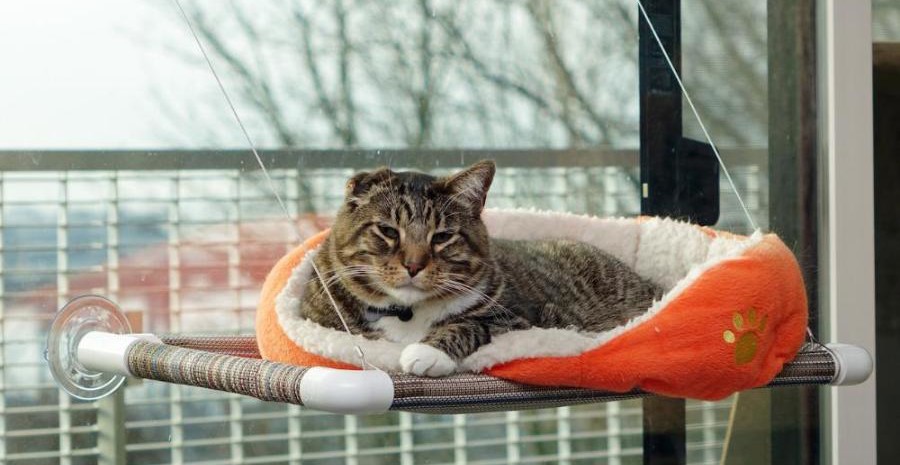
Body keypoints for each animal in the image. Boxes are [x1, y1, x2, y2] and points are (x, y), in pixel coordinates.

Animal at [302, 161, 660, 376]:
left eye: (442, 236)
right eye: (388, 231)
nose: (414, 265)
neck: (407, 312)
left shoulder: (516, 317)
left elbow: (468, 324)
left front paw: (426, 352)